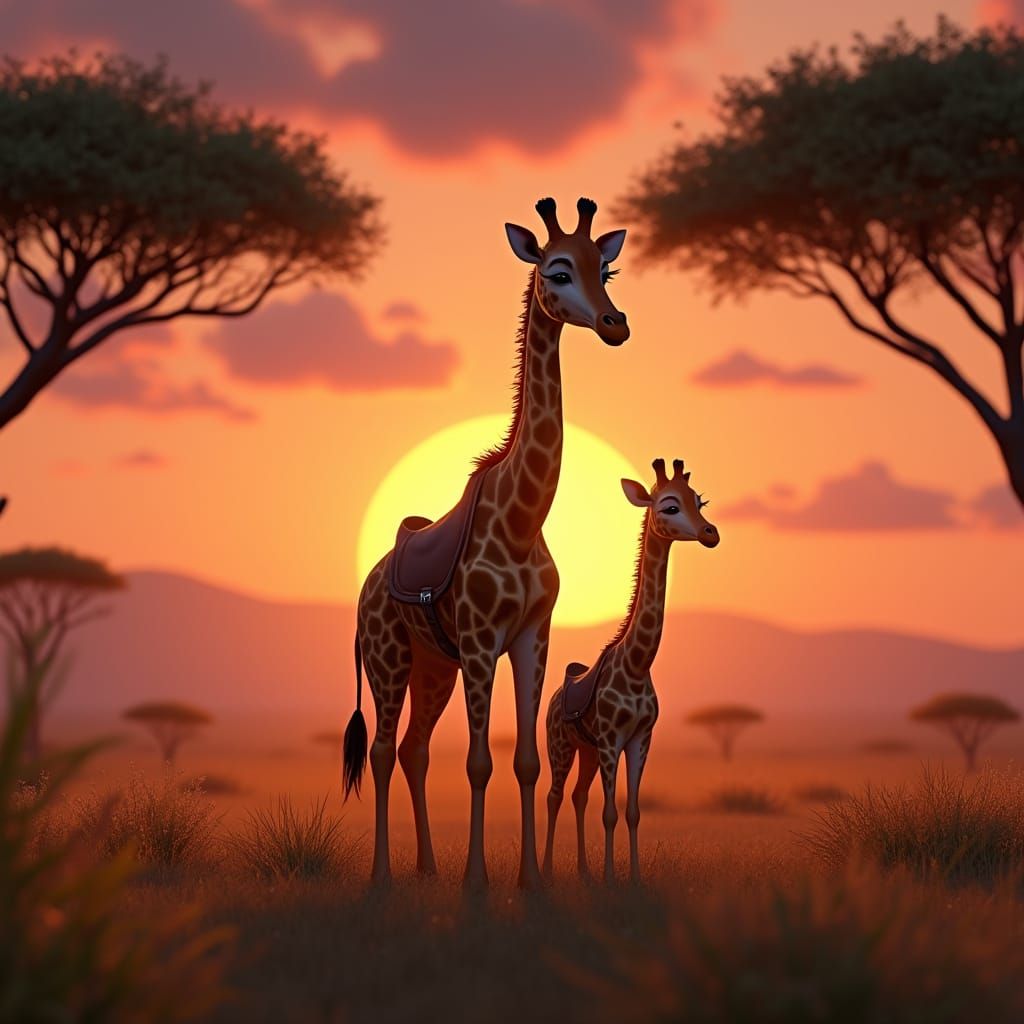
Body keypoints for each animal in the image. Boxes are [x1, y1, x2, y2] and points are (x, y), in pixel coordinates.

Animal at [342, 197, 630, 888]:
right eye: (557, 271)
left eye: (605, 270)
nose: (615, 323)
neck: (523, 520)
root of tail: (369, 580)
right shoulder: (480, 642)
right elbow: (479, 762)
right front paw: (477, 882)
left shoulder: (531, 637)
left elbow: (524, 762)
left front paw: (531, 881)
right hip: (390, 658)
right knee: (385, 750)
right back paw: (384, 876)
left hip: (433, 666)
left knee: (415, 750)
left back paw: (425, 869)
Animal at [542, 458, 720, 883]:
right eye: (670, 506)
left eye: (700, 501)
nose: (711, 533)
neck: (638, 665)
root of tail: (558, 691)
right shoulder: (611, 740)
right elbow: (609, 813)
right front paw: (610, 878)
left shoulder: (640, 739)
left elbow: (633, 812)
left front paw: (631, 877)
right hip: (561, 744)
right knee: (554, 797)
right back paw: (545, 871)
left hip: (587, 750)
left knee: (578, 796)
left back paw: (584, 871)